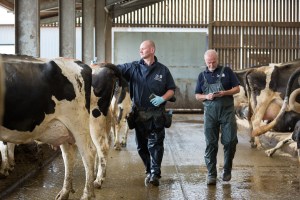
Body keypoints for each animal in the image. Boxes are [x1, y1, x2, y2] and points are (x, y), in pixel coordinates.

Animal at [0, 54, 122, 199]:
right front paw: (9, 166)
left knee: (92, 151)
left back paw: (91, 188)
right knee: (70, 155)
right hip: (66, 128)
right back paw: (66, 191)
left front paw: (5, 169)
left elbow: (4, 146)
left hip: (85, 122)